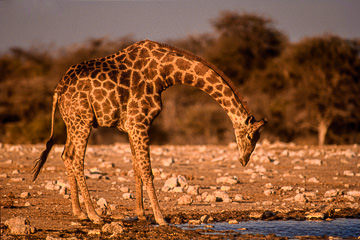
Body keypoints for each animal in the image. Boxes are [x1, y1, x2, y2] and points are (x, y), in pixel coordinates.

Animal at [32, 39, 266, 225]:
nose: (244, 160)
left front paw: (141, 214)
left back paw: (79, 212)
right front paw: (161, 218)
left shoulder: (131, 126)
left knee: (66, 155)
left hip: (73, 122)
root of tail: (58, 90)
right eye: (250, 136)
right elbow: (148, 171)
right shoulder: (140, 122)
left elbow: (136, 167)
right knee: (76, 159)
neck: (166, 73)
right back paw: (94, 215)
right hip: (83, 121)